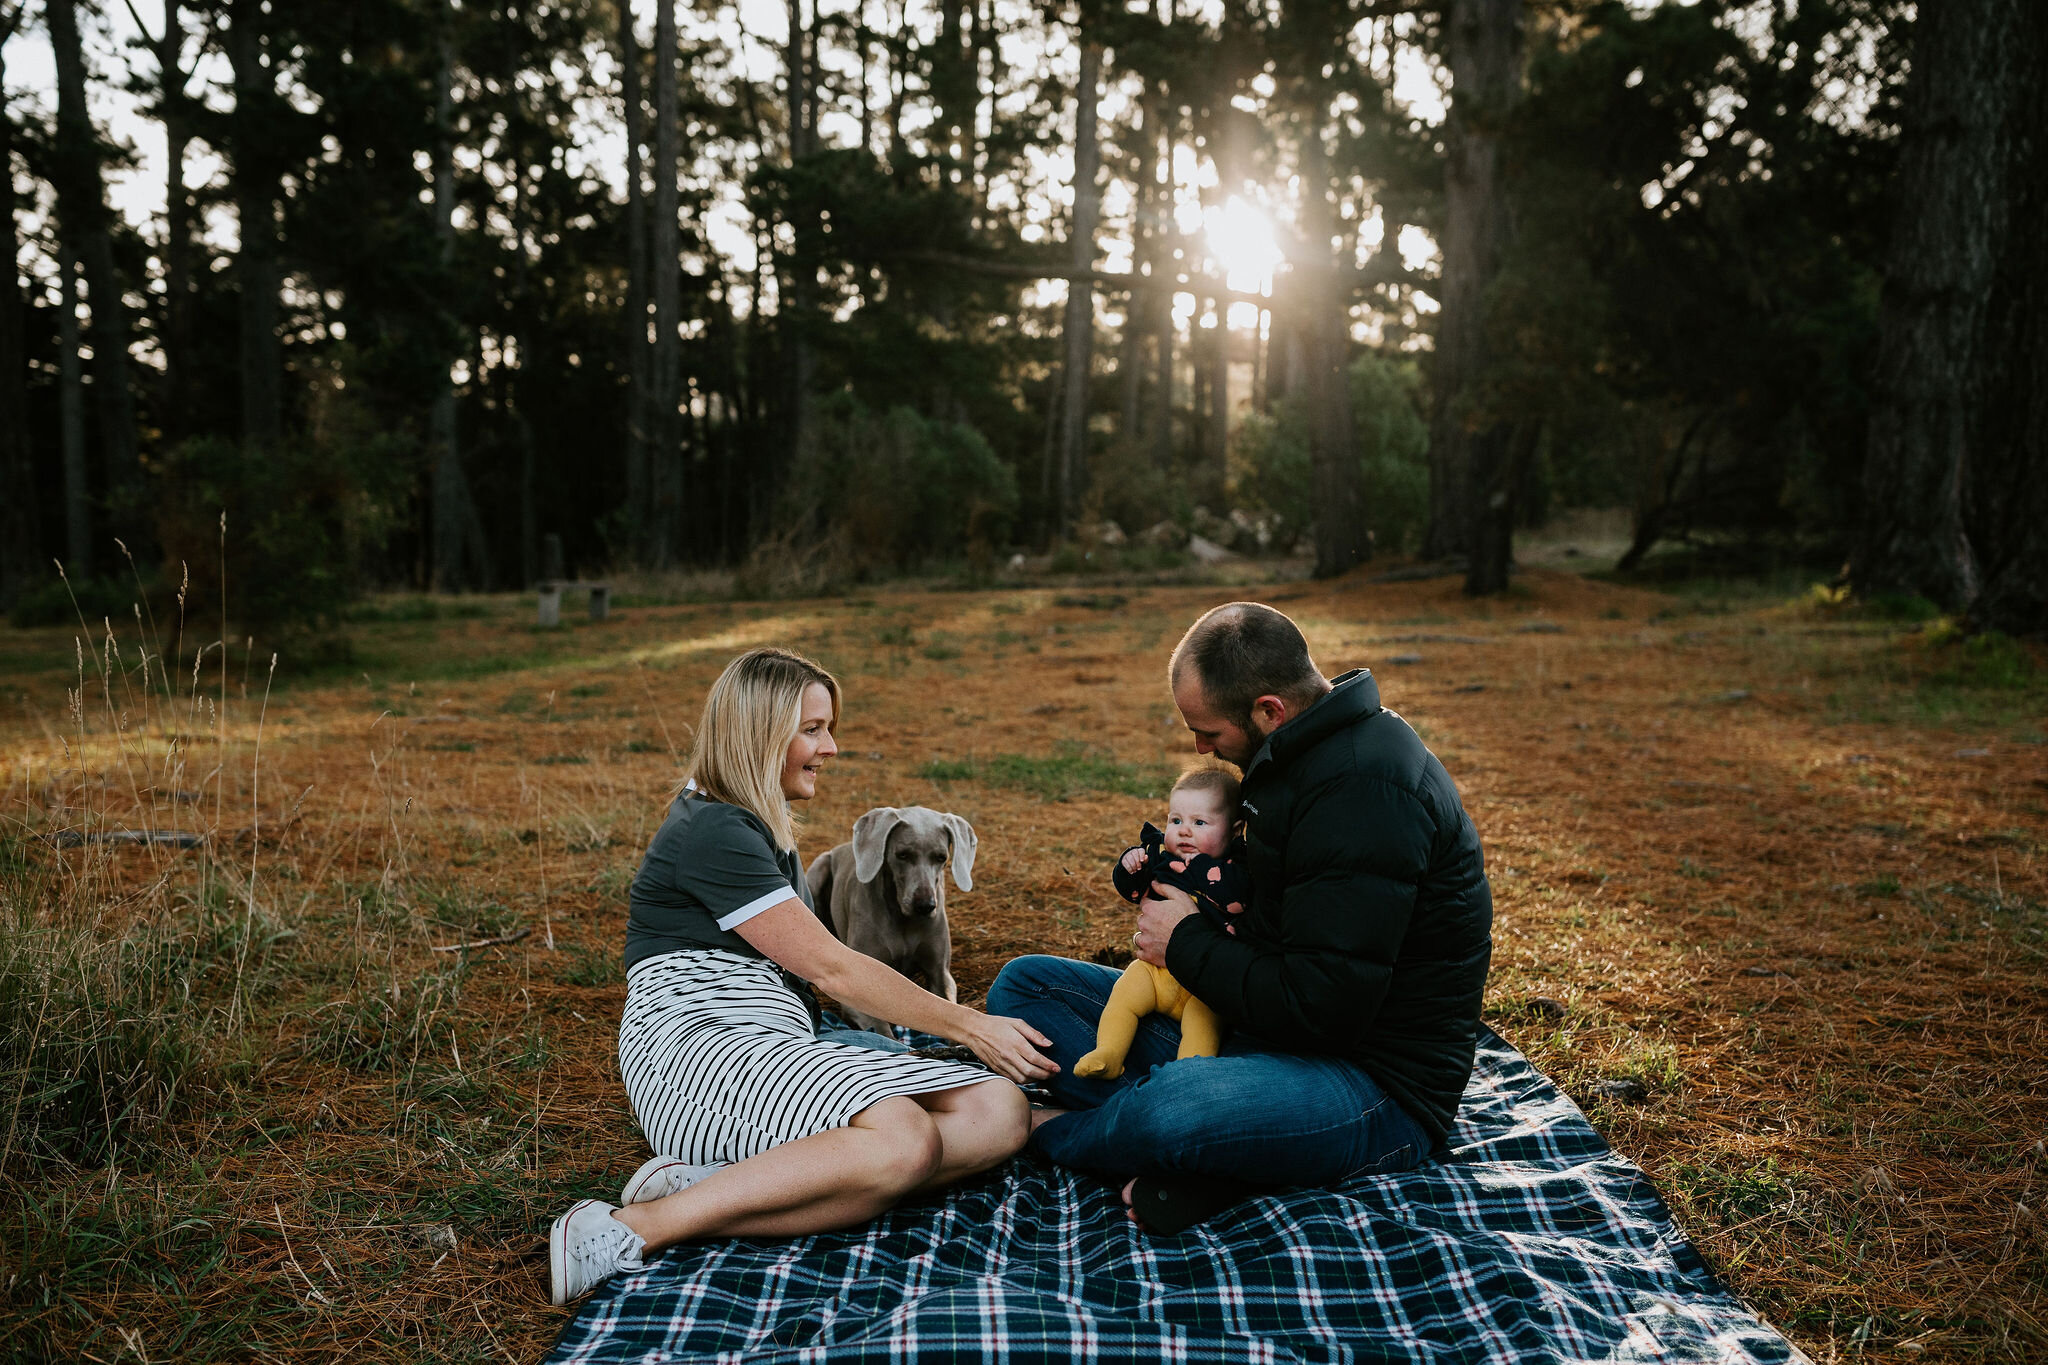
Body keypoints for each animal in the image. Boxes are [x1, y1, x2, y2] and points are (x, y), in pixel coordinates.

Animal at [802, 806, 978, 1031]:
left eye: (941, 857)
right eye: (902, 855)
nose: (925, 906)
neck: (903, 917)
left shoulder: (941, 975)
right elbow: (883, 1030)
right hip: (819, 869)